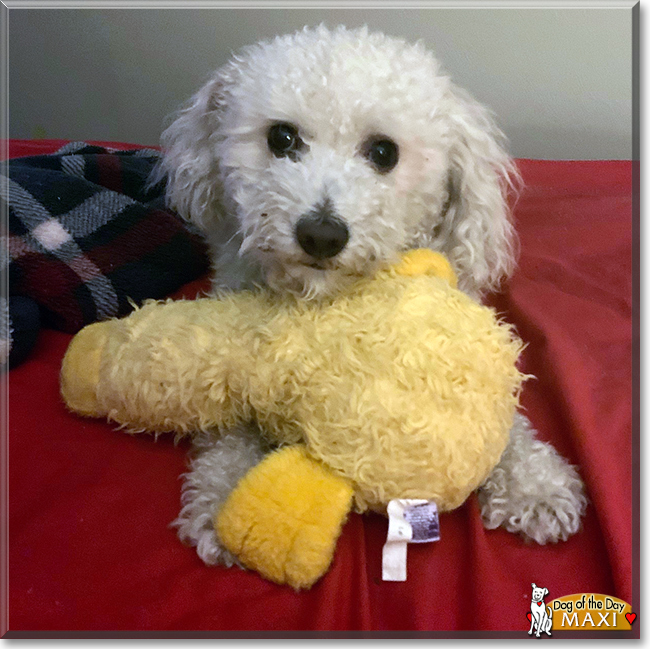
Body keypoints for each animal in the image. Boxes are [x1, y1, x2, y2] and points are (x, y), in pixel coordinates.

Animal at [153, 24, 588, 568]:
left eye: (383, 152)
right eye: (282, 138)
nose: (321, 234)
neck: (328, 297)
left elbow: (505, 420)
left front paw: (534, 485)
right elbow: (230, 419)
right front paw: (225, 492)